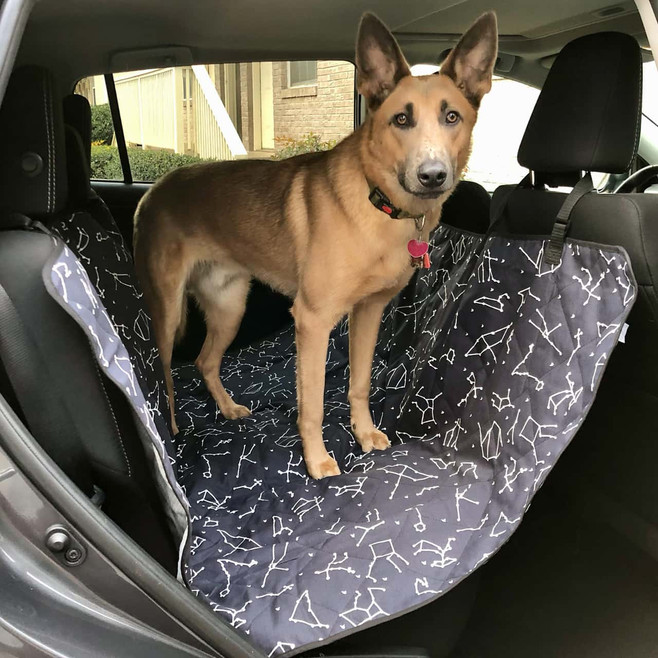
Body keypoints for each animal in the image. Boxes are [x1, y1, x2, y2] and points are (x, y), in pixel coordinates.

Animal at [135, 10, 498, 476]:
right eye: (401, 120)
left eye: (452, 117)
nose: (433, 176)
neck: (379, 206)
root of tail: (156, 188)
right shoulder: (312, 321)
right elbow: (312, 404)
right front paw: (318, 460)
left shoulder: (368, 313)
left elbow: (359, 383)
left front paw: (364, 434)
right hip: (165, 313)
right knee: (164, 374)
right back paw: (174, 432)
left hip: (230, 307)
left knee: (204, 361)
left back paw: (229, 409)